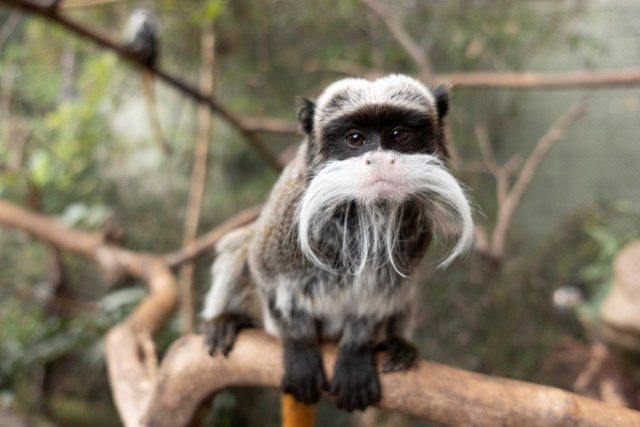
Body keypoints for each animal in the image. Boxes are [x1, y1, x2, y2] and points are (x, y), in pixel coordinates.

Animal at [201, 73, 476, 412]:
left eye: (399, 135)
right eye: (355, 139)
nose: (380, 160)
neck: (365, 214)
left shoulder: (415, 229)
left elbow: (380, 297)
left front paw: (356, 355)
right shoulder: (286, 217)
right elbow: (266, 274)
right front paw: (300, 351)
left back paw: (398, 345)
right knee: (239, 245)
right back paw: (227, 320)